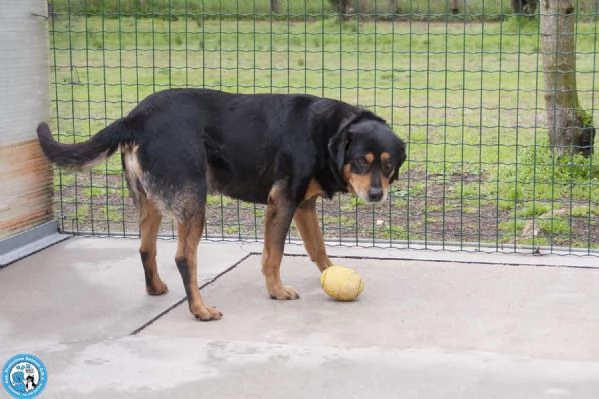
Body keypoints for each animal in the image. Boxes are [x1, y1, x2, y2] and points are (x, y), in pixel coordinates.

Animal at [35, 88, 406, 322]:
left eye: (388, 164)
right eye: (360, 162)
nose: (377, 195)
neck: (326, 133)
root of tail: (135, 118)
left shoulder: (304, 205)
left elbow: (318, 250)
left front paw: (332, 275)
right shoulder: (283, 201)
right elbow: (273, 255)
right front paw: (276, 291)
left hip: (150, 201)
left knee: (145, 248)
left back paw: (156, 289)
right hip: (193, 201)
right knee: (184, 258)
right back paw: (199, 309)